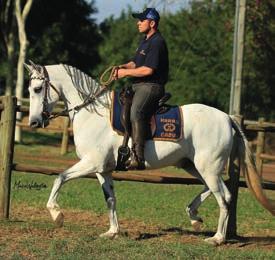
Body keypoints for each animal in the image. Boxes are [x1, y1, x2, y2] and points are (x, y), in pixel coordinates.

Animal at [24, 62, 274, 245]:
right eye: (29, 90)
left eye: (37, 89)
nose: (34, 122)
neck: (92, 113)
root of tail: (227, 118)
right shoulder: (103, 170)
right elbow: (110, 199)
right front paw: (112, 232)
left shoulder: (90, 163)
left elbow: (60, 177)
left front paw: (57, 215)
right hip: (193, 165)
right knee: (219, 192)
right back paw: (194, 217)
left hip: (208, 167)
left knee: (223, 197)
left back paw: (217, 238)